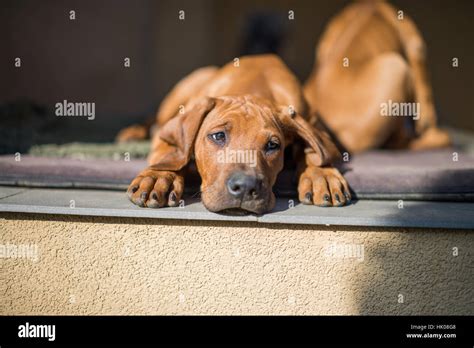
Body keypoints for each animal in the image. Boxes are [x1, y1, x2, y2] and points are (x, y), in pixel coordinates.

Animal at [122, 53, 352, 215]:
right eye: (218, 136)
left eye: (273, 145)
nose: (244, 188)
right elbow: (172, 154)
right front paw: (158, 177)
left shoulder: (310, 119)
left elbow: (315, 148)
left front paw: (322, 175)